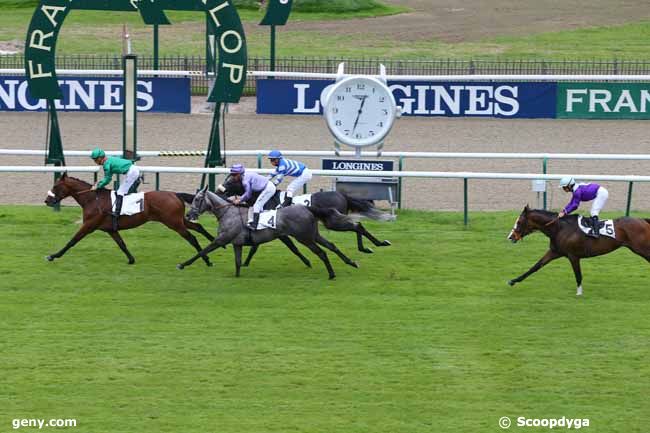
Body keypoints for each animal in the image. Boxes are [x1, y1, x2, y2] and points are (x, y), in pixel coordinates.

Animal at [43, 174, 215, 264]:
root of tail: (175, 194)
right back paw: (212, 243)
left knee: (192, 238)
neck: (92, 199)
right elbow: (121, 244)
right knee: (198, 227)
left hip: (173, 223)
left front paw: (53, 255)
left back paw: (206, 259)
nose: (47, 200)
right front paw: (131, 259)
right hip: (178, 220)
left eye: (56, 186)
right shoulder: (110, 229)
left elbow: (72, 241)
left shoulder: (89, 225)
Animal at [506, 205, 648, 294]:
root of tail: (644, 220)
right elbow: (535, 267)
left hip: (641, 249)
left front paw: (579, 293)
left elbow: (578, 275)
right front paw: (513, 281)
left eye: (519, 222)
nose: (510, 237)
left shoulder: (573, 256)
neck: (559, 228)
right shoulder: (555, 251)